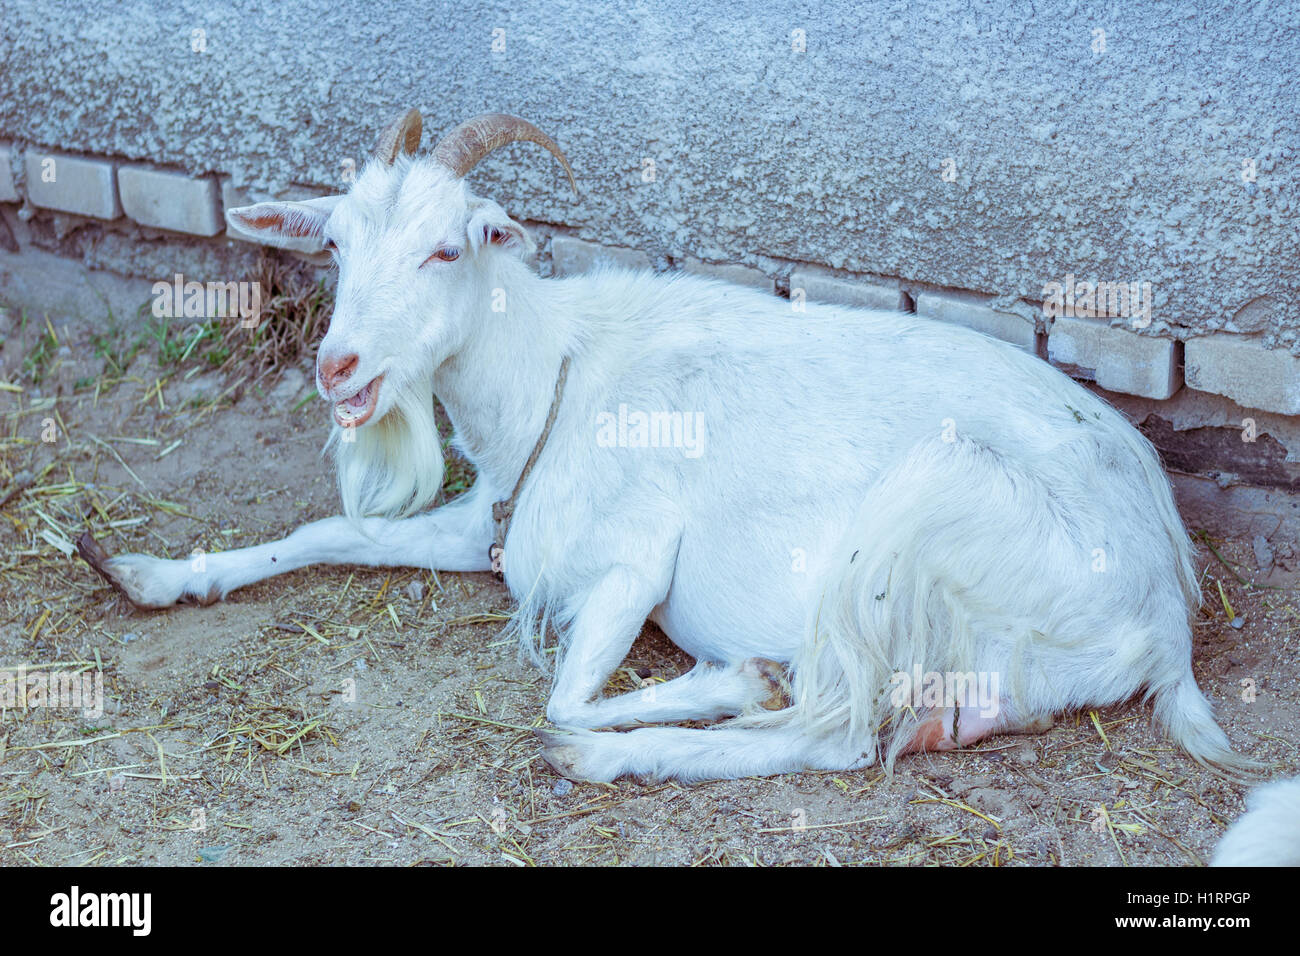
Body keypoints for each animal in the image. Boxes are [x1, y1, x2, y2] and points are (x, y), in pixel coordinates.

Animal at [78, 110, 1248, 785]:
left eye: (448, 247)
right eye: (334, 241)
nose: (339, 367)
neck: (554, 376)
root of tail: (1165, 609)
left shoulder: (630, 563)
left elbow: (560, 685)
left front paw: (714, 684)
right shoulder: (493, 520)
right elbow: (334, 530)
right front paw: (146, 569)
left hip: (925, 510)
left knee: (833, 734)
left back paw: (631, 746)